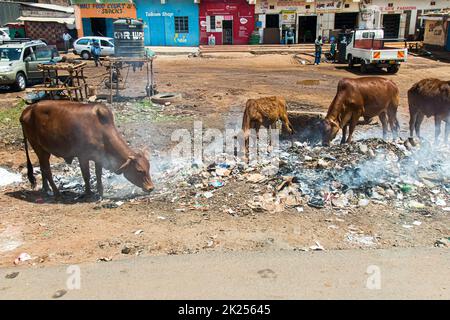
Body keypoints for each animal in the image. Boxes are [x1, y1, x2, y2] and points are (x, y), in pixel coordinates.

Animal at [20, 100, 155, 196]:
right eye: (139, 170)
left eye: (148, 168)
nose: (151, 188)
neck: (101, 130)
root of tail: (27, 110)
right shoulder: (83, 157)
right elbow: (87, 175)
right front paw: (88, 192)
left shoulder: (99, 157)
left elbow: (98, 174)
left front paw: (100, 191)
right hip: (40, 148)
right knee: (46, 170)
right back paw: (56, 192)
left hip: (42, 150)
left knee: (42, 169)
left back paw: (46, 189)